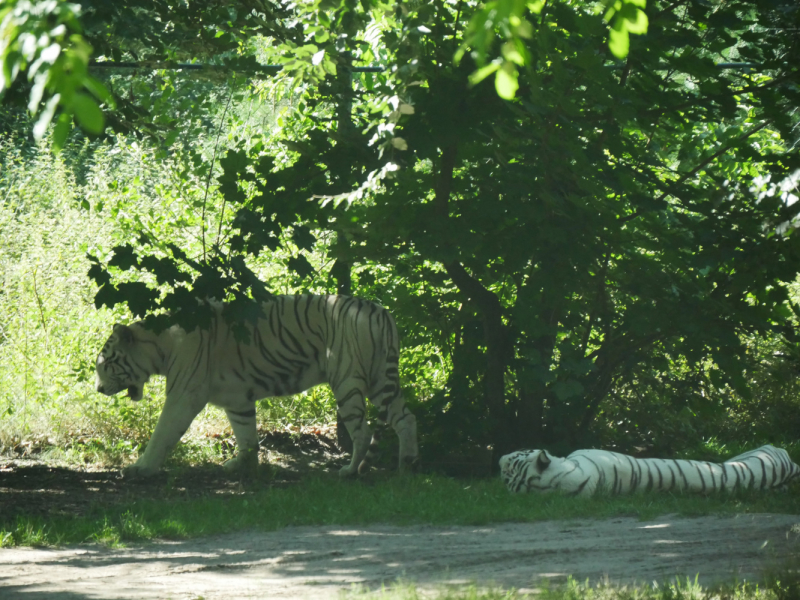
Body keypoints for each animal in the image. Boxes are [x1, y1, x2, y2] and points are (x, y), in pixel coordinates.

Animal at [95, 292, 418, 480]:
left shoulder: (184, 394)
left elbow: (162, 432)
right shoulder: (237, 398)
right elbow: (246, 435)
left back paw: (350, 471)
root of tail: (380, 311)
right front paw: (242, 466)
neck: (159, 345)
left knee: (363, 431)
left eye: (106, 364)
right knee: (406, 418)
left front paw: (141, 468)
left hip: (347, 380)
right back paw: (407, 465)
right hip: (380, 379)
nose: (98, 390)